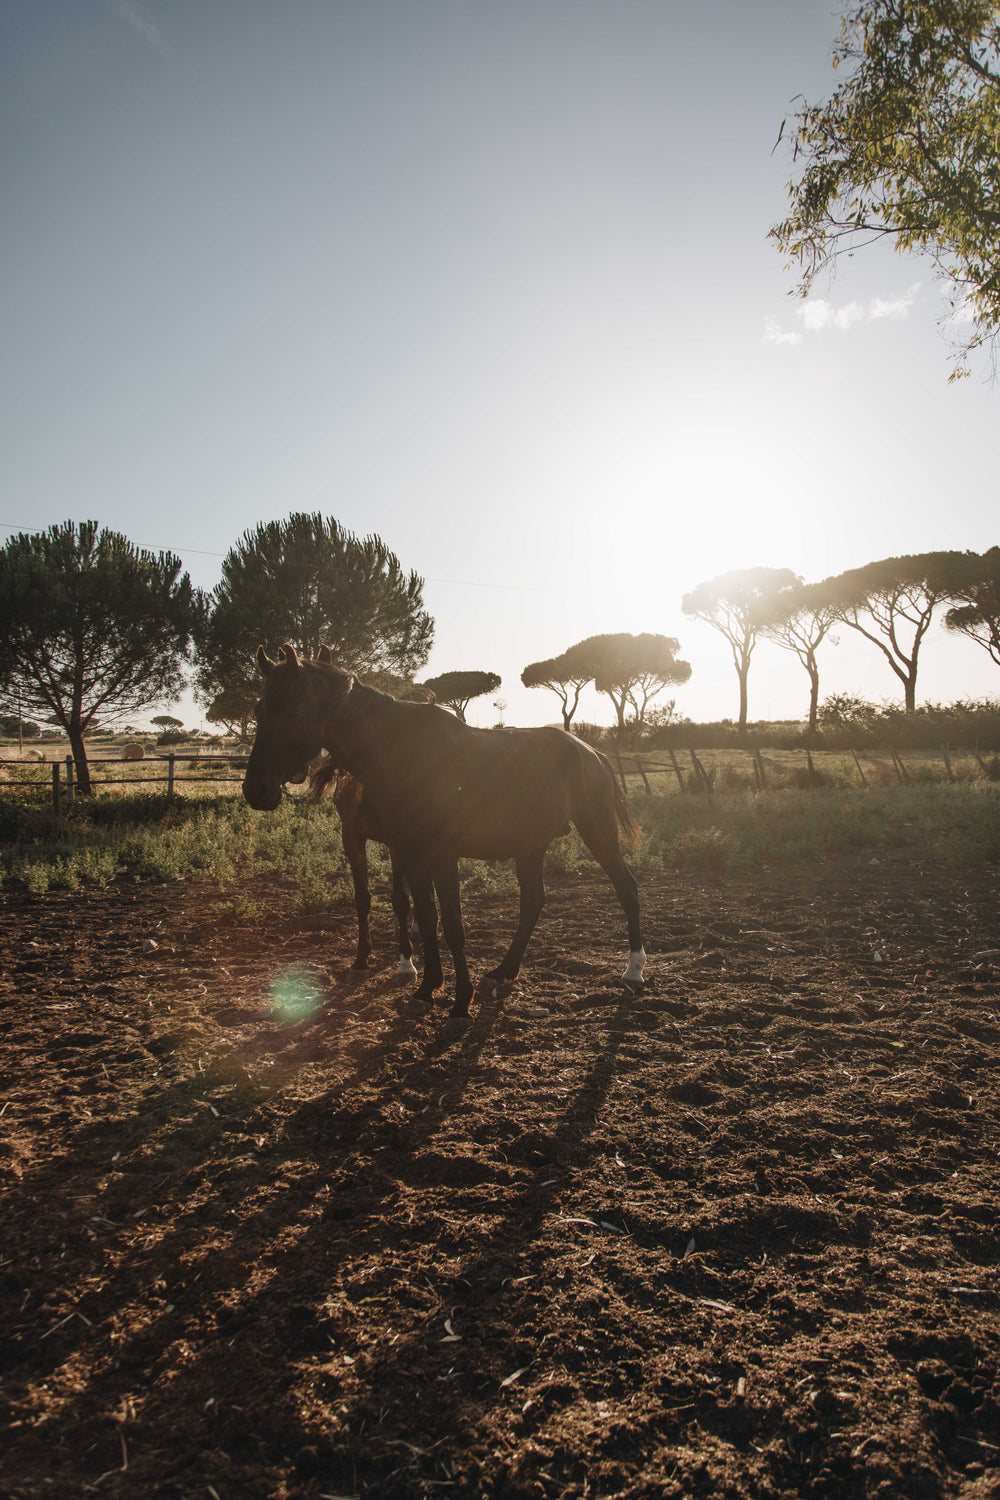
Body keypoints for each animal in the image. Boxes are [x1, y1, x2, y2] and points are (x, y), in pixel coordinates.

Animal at [245, 639, 644, 1026]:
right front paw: (426, 990)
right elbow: (424, 919)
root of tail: (591, 752)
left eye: (294, 712)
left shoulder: (442, 856)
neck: (405, 757)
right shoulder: (410, 855)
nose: (255, 790)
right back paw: (502, 972)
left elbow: (453, 925)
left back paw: (634, 970)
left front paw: (460, 1004)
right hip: (531, 846)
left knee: (626, 888)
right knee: (533, 902)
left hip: (597, 831)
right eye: (258, 711)